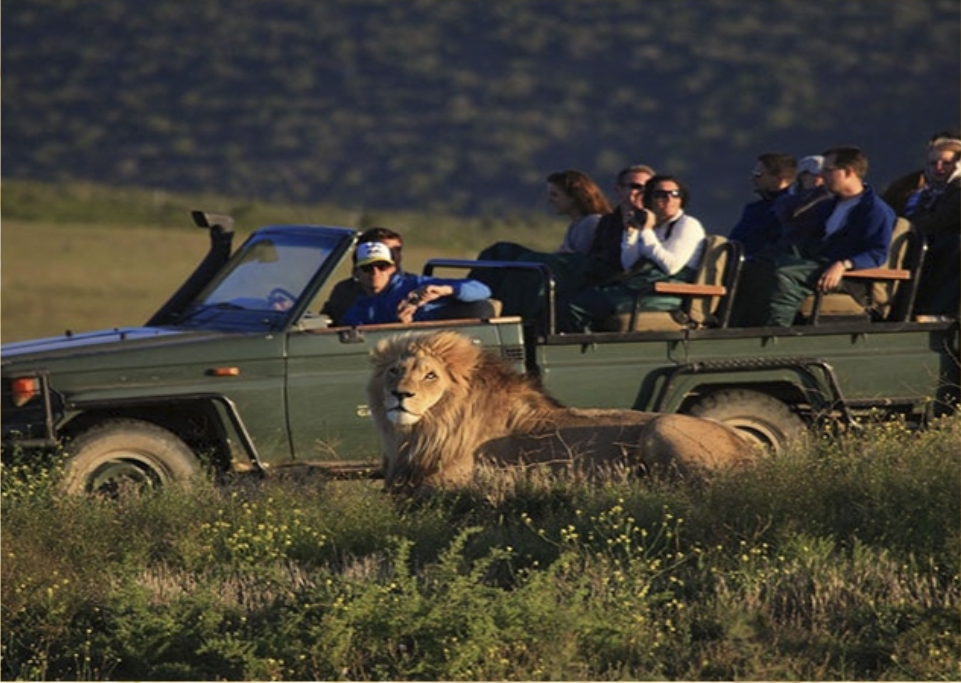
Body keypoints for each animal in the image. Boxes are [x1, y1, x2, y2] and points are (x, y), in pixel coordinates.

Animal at [368, 330, 756, 492]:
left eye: (430, 375)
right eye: (394, 371)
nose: (400, 394)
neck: (423, 430)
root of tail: (749, 447)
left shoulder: (452, 481)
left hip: (663, 429)